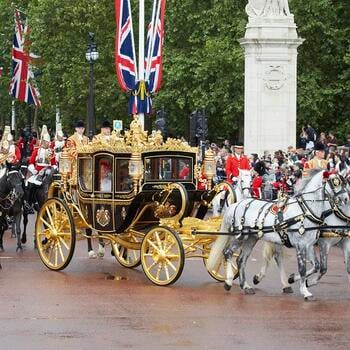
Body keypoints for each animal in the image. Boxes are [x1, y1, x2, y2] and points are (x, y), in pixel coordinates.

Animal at [208, 171, 350, 300]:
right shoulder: (305, 245)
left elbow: (317, 266)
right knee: (228, 253)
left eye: (344, 183)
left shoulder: (310, 245)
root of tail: (236, 205)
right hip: (241, 237)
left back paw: (247, 286)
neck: (306, 211)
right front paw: (305, 291)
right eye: (335, 183)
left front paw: (296, 280)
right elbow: (304, 269)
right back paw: (229, 282)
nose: (346, 199)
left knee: (242, 260)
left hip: (252, 238)